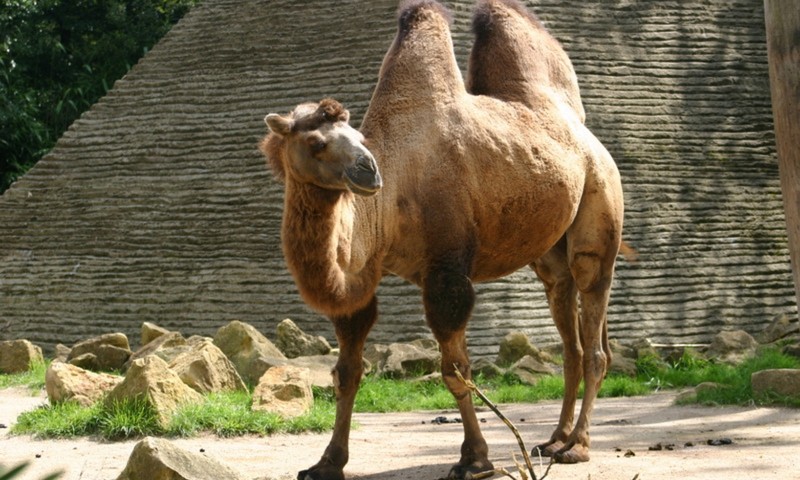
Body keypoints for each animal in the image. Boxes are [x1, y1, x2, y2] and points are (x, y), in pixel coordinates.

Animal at [262, 0, 624, 480]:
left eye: (358, 137)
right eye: (317, 142)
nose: (369, 171)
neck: (391, 201)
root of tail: (585, 133)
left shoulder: (446, 271)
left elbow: (455, 371)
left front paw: (474, 459)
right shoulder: (361, 280)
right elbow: (347, 372)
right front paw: (326, 462)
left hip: (600, 204)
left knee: (594, 319)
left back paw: (577, 447)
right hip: (551, 253)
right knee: (571, 332)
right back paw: (554, 440)